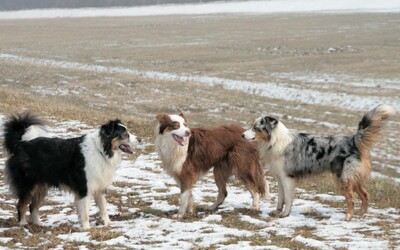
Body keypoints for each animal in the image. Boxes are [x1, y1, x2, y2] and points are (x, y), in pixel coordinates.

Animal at [2, 112, 141, 229]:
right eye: (124, 134)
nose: (140, 139)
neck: (102, 150)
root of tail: (20, 144)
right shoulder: (84, 188)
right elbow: (85, 212)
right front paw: (86, 229)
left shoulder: (99, 186)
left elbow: (103, 208)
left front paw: (108, 224)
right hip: (28, 185)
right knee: (21, 205)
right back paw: (23, 224)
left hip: (41, 186)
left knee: (33, 206)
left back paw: (39, 224)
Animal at [242, 105, 396, 221]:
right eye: (251, 126)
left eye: (256, 128)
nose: (242, 135)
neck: (274, 141)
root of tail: (353, 140)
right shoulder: (280, 177)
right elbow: (281, 197)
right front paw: (277, 211)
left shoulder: (288, 178)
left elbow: (288, 198)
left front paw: (285, 214)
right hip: (352, 178)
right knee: (365, 194)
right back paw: (361, 215)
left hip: (343, 178)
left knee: (351, 199)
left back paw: (348, 217)